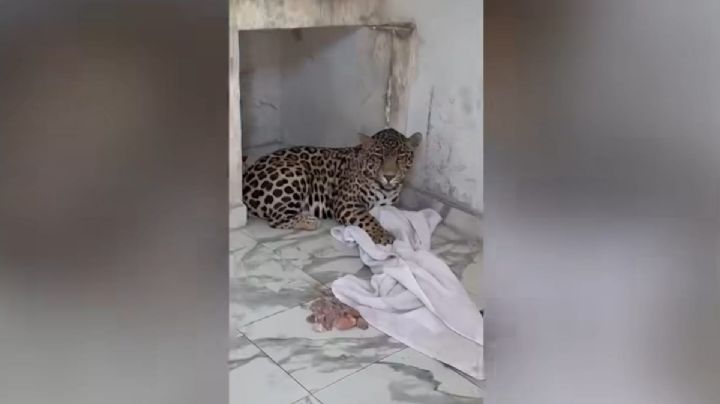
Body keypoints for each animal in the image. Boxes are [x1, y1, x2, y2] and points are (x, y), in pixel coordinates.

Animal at [242, 128, 422, 245]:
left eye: (401, 157)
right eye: (378, 156)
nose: (389, 176)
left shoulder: (388, 206)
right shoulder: (346, 204)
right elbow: (368, 218)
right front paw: (383, 235)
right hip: (296, 171)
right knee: (276, 219)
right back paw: (309, 220)